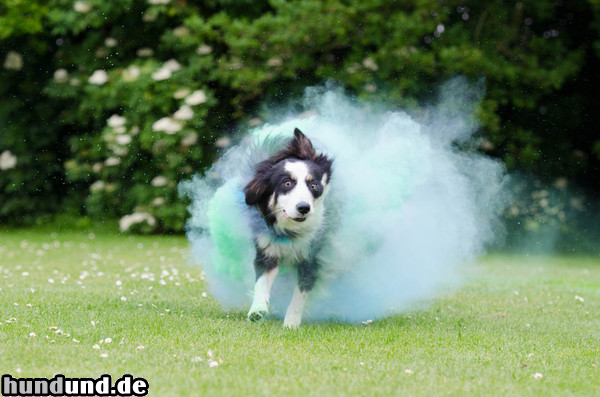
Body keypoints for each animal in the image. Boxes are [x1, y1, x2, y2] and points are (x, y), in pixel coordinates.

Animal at [246, 127, 336, 328]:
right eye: (287, 183)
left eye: (313, 185)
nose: (304, 208)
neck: (292, 230)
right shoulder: (266, 249)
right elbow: (261, 281)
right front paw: (257, 309)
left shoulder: (312, 257)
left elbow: (300, 292)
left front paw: (291, 322)